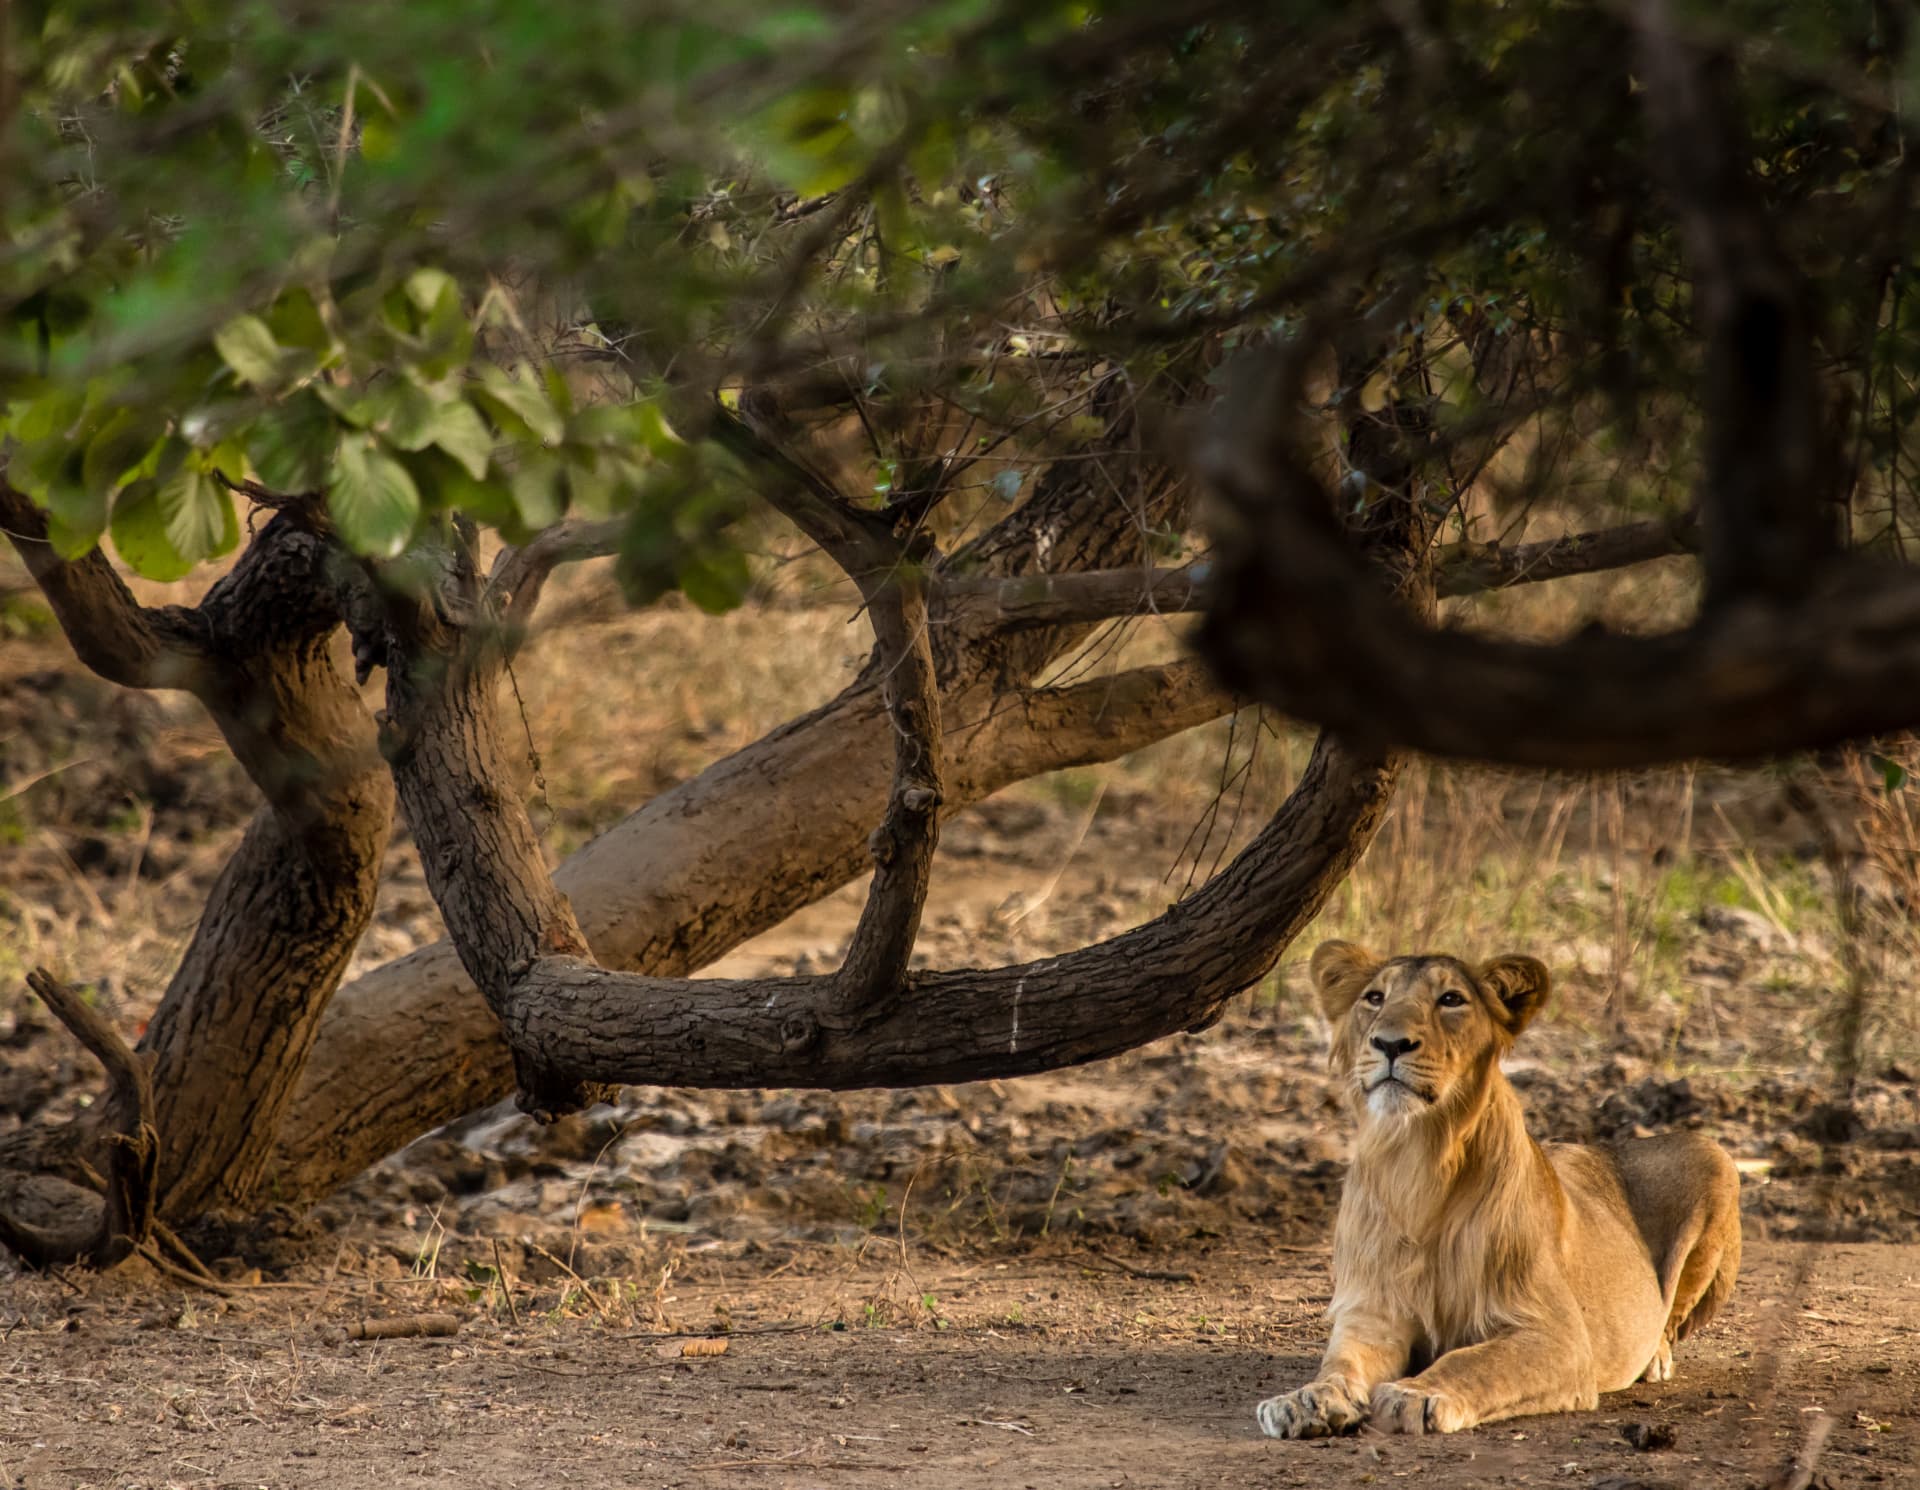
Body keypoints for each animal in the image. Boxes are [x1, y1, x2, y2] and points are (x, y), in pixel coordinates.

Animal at [1256, 941, 1741, 1438]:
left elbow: (1475, 1362)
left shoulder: (1557, 1335)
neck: (1416, 1161)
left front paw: (1416, 1395)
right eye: (1374, 998)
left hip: (1714, 1156)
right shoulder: (1372, 1314)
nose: (1390, 1043)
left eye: (1451, 999)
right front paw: (1305, 1400)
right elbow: (1339, 1364)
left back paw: (1655, 1357)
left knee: (1670, 1321)